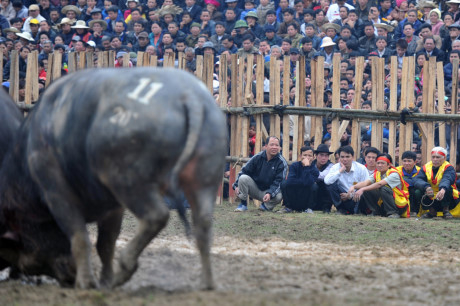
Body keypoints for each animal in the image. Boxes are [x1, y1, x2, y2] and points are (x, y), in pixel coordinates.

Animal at [0, 67, 228, 290]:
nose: (70, 276)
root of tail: (189, 96)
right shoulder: (113, 207)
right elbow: (105, 244)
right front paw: (105, 280)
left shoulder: (56, 194)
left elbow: (80, 239)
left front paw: (88, 282)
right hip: (202, 180)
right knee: (203, 225)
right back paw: (207, 283)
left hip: (129, 182)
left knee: (156, 216)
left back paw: (125, 268)